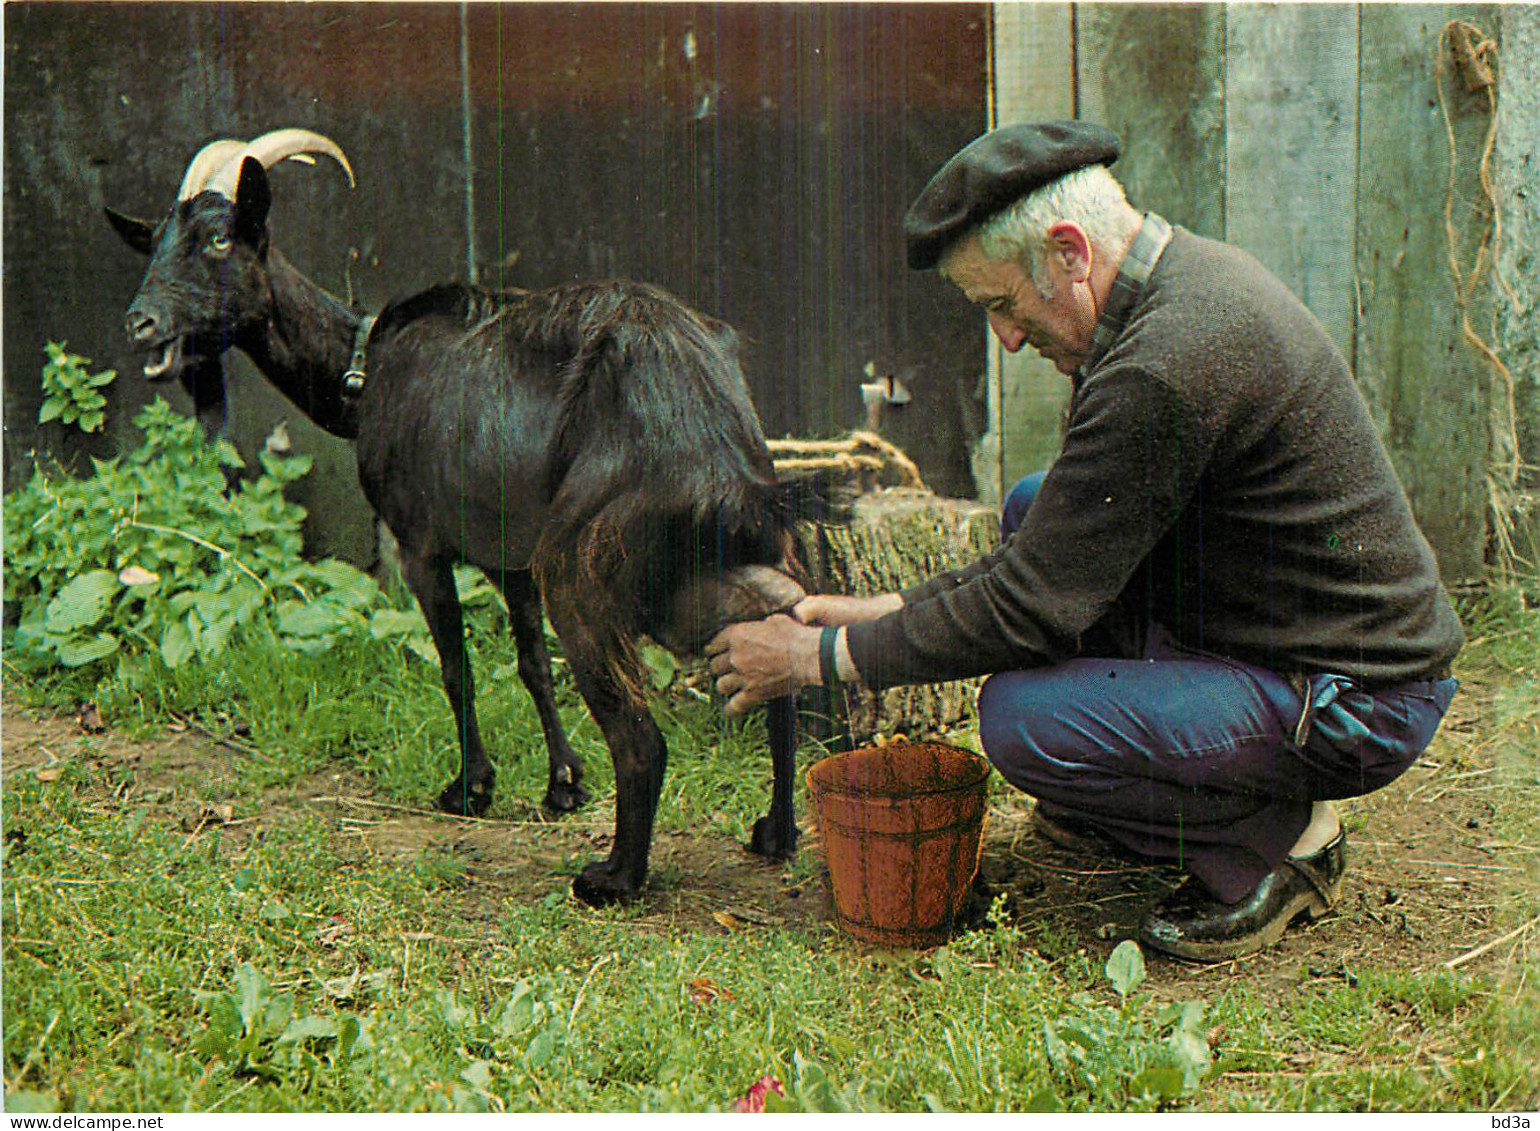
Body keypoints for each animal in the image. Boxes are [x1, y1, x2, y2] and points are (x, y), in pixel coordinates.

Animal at [108, 130, 819, 912]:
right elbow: (531, 663)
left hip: (587, 564)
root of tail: (703, 419)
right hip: (720, 561)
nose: (140, 323)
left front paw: (470, 788)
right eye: (154, 245)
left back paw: (612, 878)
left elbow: (456, 666)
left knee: (642, 738)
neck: (363, 374)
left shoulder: (420, 542)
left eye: (219, 239)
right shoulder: (511, 554)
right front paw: (563, 783)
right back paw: (774, 832)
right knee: (778, 662)